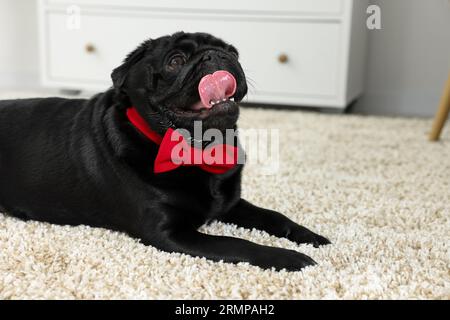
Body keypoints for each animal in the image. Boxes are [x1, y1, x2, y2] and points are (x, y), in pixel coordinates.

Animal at [0, 31, 330, 270]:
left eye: (233, 52)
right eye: (176, 61)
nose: (216, 55)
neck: (200, 148)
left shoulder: (232, 204)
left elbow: (274, 217)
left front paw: (307, 237)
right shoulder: (169, 233)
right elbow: (236, 243)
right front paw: (286, 257)